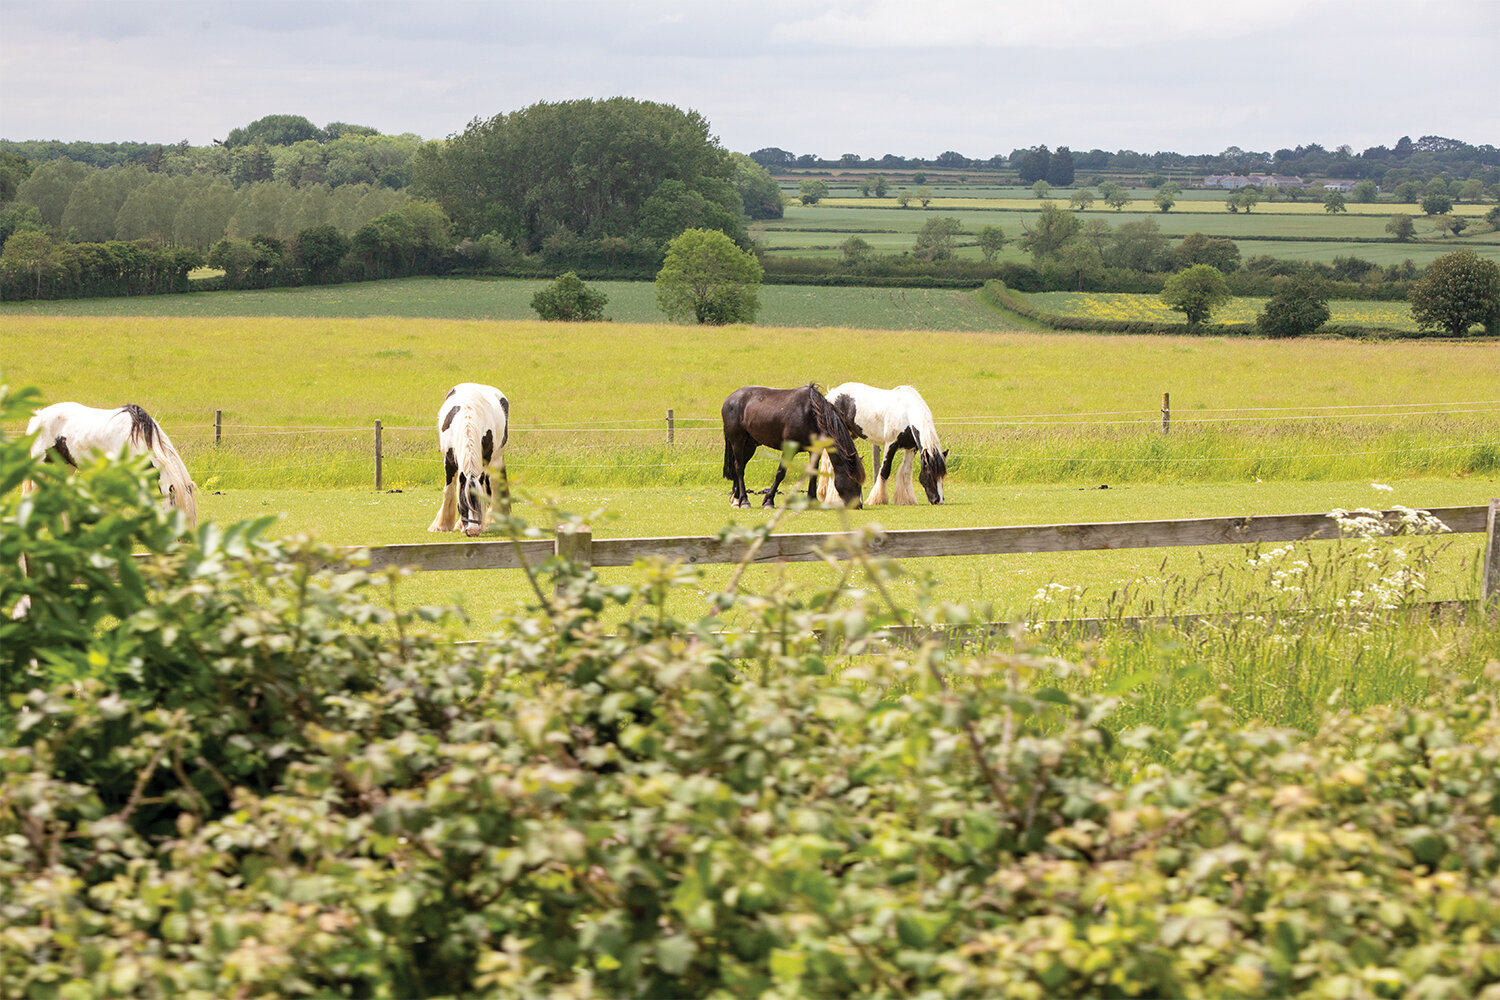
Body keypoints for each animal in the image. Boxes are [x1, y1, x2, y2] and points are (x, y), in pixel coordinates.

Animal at [429, 386, 510, 539]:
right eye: (463, 503)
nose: (473, 531)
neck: (468, 418)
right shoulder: (449, 461)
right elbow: (449, 490)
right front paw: (442, 525)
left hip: (496, 460)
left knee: (493, 487)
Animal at [723, 383, 870, 509]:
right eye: (854, 480)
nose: (858, 505)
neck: (811, 414)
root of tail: (729, 400)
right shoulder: (789, 449)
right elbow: (780, 473)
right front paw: (769, 500)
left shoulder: (815, 450)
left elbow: (812, 472)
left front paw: (812, 500)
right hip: (738, 441)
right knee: (739, 468)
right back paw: (744, 501)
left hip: (750, 445)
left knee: (739, 467)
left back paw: (736, 499)